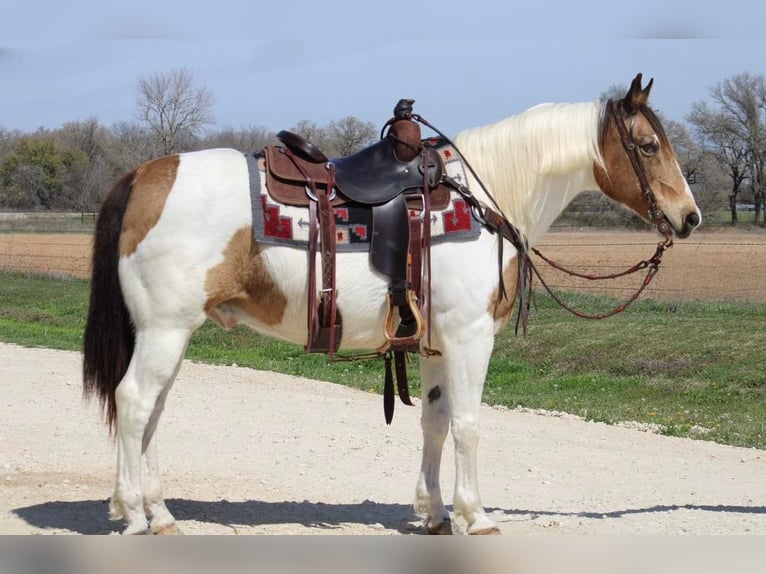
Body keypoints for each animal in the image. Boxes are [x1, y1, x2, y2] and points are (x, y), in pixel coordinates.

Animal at [82, 74, 704, 536]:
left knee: (153, 413)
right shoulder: (469, 336)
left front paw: (433, 512)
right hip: (164, 330)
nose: (690, 217)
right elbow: (469, 424)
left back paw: (161, 514)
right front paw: (476, 515)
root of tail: (145, 175)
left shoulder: (433, 342)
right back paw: (133, 513)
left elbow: (434, 422)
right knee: (134, 403)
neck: (484, 197)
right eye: (648, 146)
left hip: (170, 333)